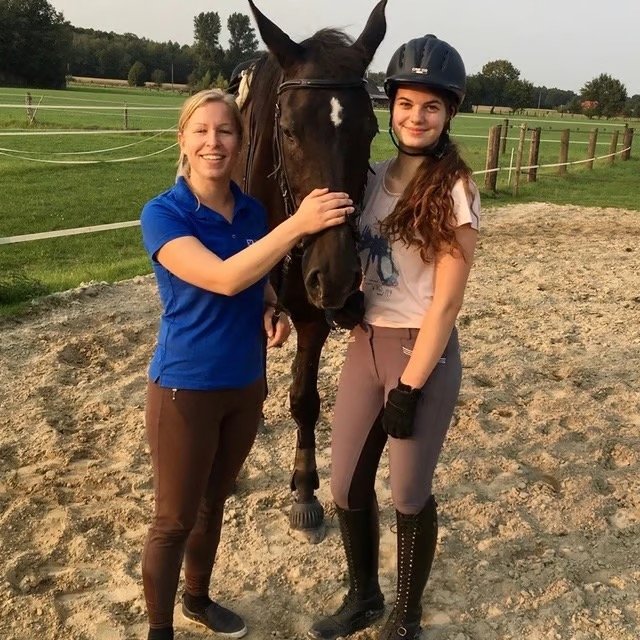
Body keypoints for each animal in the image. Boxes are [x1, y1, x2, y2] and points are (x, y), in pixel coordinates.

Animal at [234, 0, 387, 541]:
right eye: (289, 131)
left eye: (370, 130)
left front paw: (303, 489)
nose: (336, 276)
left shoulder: (313, 318)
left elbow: (304, 399)